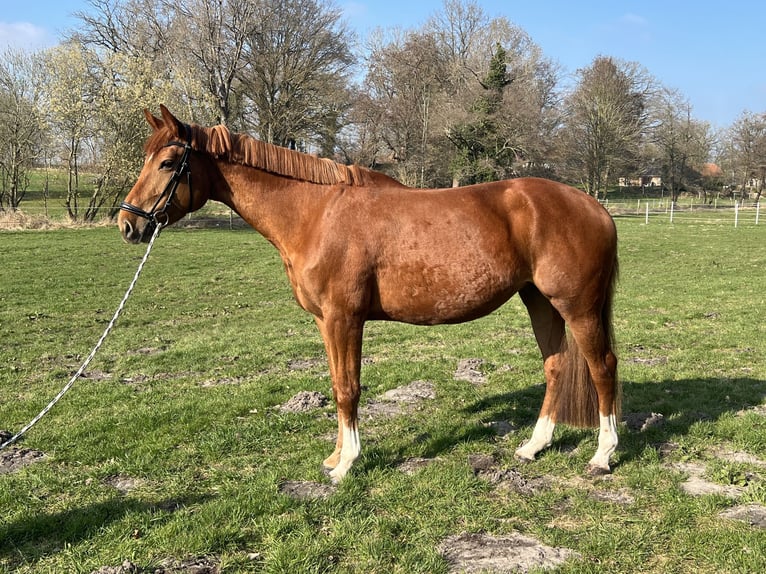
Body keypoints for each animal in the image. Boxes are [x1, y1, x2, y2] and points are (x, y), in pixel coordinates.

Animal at [118, 105, 620, 482]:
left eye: (167, 163)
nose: (127, 224)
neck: (315, 214)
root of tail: (593, 205)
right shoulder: (325, 321)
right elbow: (337, 383)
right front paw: (335, 457)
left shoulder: (345, 318)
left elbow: (349, 388)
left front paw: (346, 465)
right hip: (540, 301)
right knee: (556, 365)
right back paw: (533, 447)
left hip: (578, 307)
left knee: (602, 367)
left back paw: (602, 455)